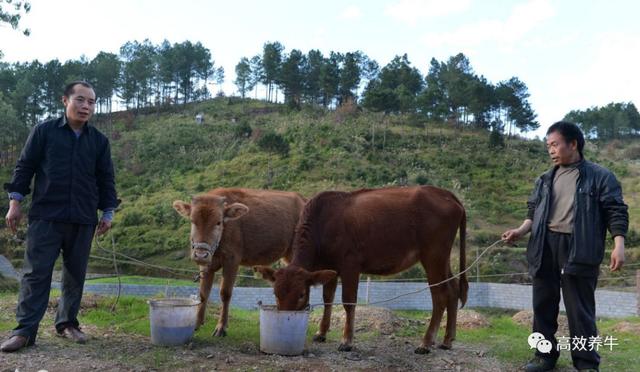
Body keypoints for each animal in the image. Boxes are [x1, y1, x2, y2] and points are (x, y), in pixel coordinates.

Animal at [174, 187, 306, 336]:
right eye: (192, 221)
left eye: (218, 222)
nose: (201, 254)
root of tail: (303, 199)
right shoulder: (207, 264)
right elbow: (203, 293)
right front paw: (197, 323)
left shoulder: (232, 260)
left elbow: (225, 293)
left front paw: (221, 327)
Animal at [252, 187, 468, 354]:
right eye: (275, 293)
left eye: (301, 294)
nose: (285, 319)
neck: (323, 224)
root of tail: (444, 193)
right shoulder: (330, 266)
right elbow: (328, 298)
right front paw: (321, 333)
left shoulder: (350, 263)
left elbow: (348, 301)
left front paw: (347, 341)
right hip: (442, 258)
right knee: (453, 289)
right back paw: (447, 340)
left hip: (433, 254)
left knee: (440, 295)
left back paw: (425, 343)